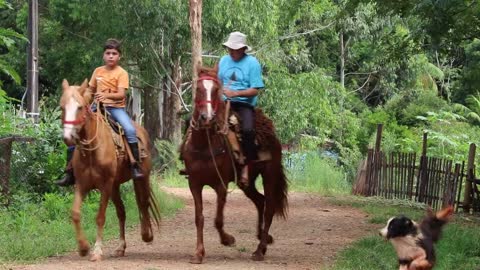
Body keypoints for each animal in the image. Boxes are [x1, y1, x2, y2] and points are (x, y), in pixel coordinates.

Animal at [60, 79, 160, 260]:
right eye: (62, 107)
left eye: (80, 107)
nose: (68, 137)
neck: (92, 150)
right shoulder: (82, 184)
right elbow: (75, 213)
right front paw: (83, 247)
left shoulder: (105, 185)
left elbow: (100, 217)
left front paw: (97, 251)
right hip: (115, 185)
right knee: (122, 212)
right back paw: (121, 247)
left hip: (142, 177)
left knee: (143, 203)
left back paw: (147, 235)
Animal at [180, 66, 286, 262]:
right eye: (198, 89)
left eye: (216, 90)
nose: (207, 117)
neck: (204, 145)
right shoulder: (194, 184)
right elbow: (199, 218)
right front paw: (198, 254)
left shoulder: (221, 185)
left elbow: (218, 219)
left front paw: (227, 239)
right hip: (247, 183)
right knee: (260, 200)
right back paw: (262, 237)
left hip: (270, 174)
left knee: (269, 207)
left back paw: (260, 250)